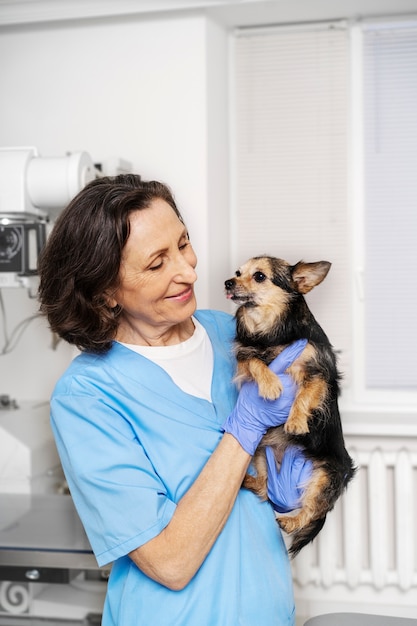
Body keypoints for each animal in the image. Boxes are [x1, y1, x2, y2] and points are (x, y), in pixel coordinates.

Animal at [224, 255, 354, 556]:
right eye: (237, 272)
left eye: (259, 276)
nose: (227, 282)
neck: (270, 333)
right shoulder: (245, 356)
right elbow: (255, 362)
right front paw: (271, 385)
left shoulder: (317, 372)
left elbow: (305, 394)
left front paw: (295, 421)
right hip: (260, 451)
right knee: (263, 488)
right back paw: (245, 481)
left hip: (325, 476)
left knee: (313, 509)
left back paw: (292, 521)